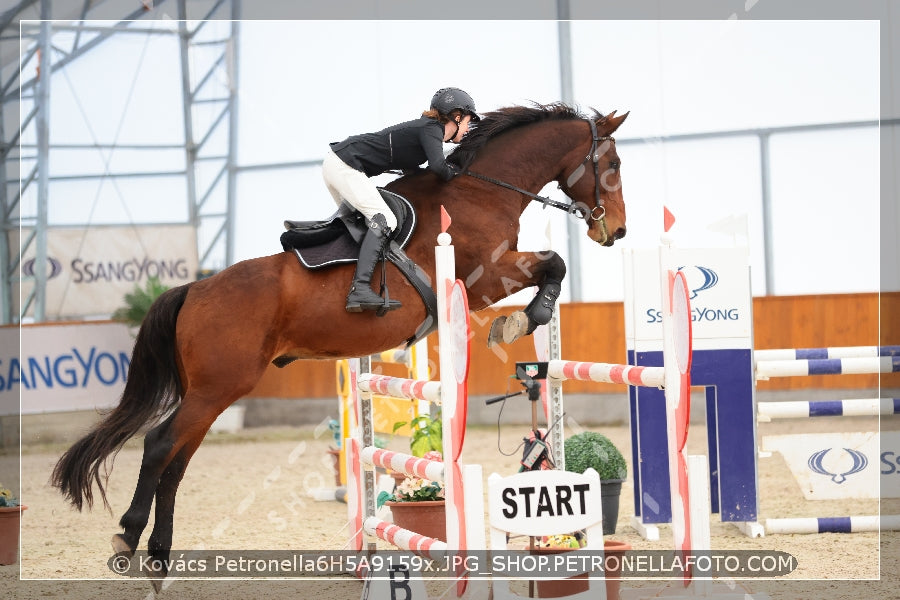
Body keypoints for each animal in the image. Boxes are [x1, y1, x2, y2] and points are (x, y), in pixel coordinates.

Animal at [49, 102, 624, 584]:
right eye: (613, 163)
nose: (615, 232)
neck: (481, 189)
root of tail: (194, 288)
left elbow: (552, 264)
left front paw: (522, 321)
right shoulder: (485, 276)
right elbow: (553, 262)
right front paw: (525, 320)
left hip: (210, 392)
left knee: (177, 461)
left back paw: (160, 556)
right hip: (217, 387)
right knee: (159, 445)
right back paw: (129, 536)